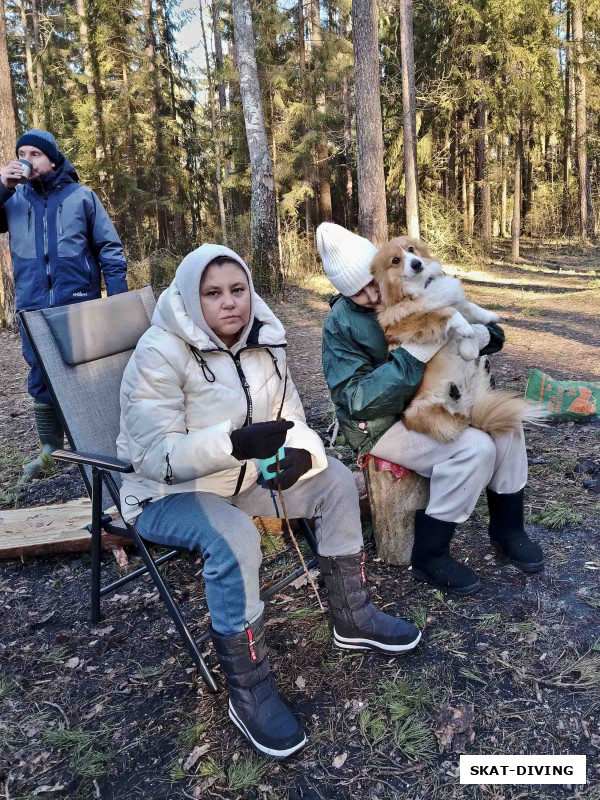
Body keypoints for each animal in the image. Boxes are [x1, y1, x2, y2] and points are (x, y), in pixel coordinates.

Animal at [370, 236, 544, 444]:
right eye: (395, 260)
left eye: (411, 249)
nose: (417, 264)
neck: (424, 285)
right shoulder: (405, 323)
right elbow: (447, 311)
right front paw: (467, 330)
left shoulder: (459, 303)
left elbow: (468, 307)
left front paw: (487, 321)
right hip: (420, 411)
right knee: (457, 421)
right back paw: (453, 396)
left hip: (475, 395)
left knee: (474, 401)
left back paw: (478, 372)